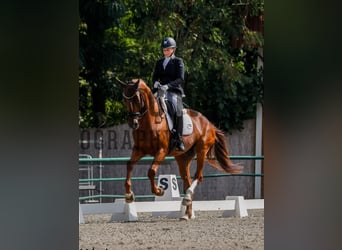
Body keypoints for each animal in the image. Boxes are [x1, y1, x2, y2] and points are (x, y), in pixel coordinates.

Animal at [119, 79, 242, 220]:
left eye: (137, 99)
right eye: (125, 100)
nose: (133, 123)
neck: (150, 121)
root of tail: (210, 124)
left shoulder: (161, 151)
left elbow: (151, 171)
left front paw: (159, 191)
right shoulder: (139, 150)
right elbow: (129, 165)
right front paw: (129, 195)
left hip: (201, 151)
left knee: (198, 176)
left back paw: (187, 199)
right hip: (183, 158)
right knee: (187, 180)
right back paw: (187, 214)